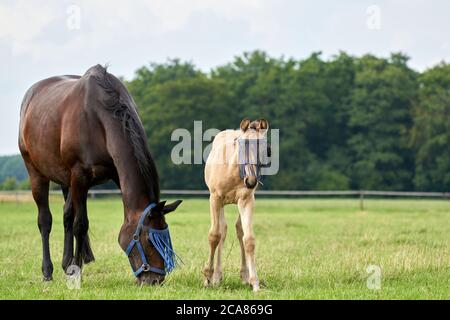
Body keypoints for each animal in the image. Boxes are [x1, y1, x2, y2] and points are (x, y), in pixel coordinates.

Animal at [17, 65, 183, 284]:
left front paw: (73, 266)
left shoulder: (114, 174)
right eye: (148, 239)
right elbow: (81, 224)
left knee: (66, 215)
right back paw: (48, 271)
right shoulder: (79, 176)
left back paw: (66, 263)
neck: (97, 118)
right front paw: (76, 272)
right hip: (36, 173)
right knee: (45, 220)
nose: (155, 280)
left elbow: (73, 219)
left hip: (66, 179)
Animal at [205, 119, 270, 292]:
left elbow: (249, 240)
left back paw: (244, 276)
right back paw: (216, 277)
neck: (232, 170)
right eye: (242, 145)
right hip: (220, 203)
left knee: (239, 230)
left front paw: (255, 283)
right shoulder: (215, 198)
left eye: (265, 148)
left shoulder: (247, 200)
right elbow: (214, 236)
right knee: (222, 231)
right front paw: (207, 277)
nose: (251, 181)